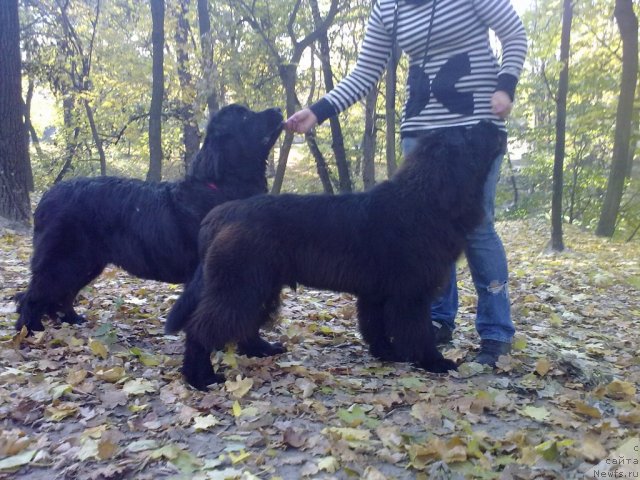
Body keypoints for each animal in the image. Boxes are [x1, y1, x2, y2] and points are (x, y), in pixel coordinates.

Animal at [15, 103, 282, 332]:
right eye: (245, 117)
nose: (279, 110)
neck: (222, 186)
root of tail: (48, 194)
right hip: (63, 259)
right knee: (33, 295)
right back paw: (30, 331)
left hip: (86, 263)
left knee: (63, 294)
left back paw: (71, 320)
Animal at [166, 121, 504, 390]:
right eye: (468, 132)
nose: (494, 123)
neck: (425, 201)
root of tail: (221, 214)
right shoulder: (411, 294)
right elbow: (418, 332)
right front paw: (433, 361)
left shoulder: (377, 293)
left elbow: (375, 326)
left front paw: (387, 354)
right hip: (240, 286)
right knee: (200, 329)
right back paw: (200, 377)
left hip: (259, 285)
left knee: (245, 323)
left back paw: (260, 349)